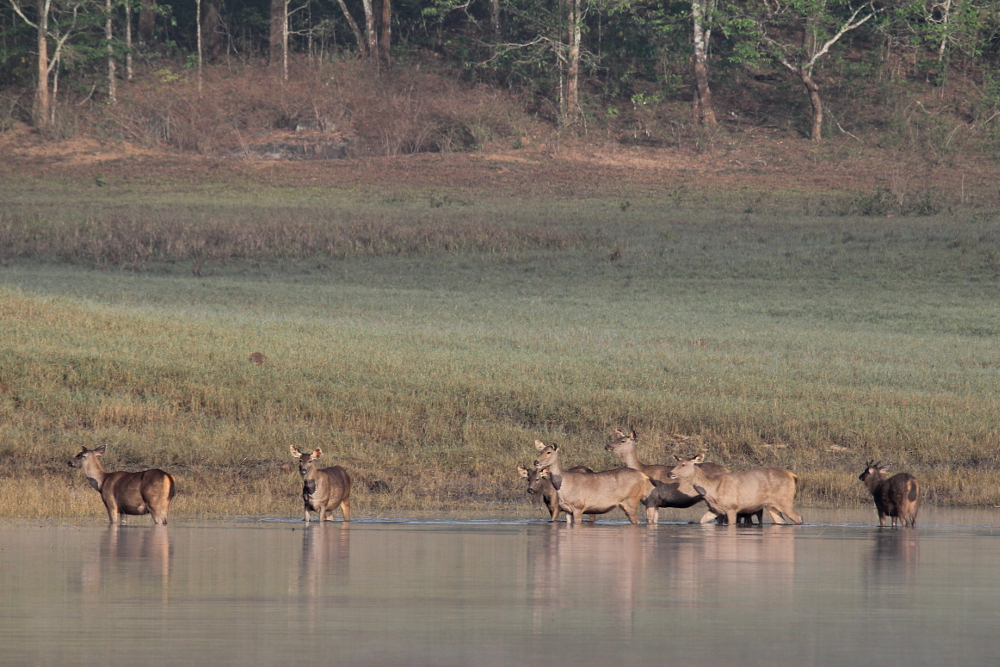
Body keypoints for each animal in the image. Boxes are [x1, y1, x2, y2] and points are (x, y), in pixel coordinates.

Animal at [668, 454, 803, 525]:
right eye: (677, 463)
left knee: (799, 518)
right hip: (771, 505)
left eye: (683, 465)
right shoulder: (714, 509)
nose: (670, 473)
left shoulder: (732, 507)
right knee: (781, 521)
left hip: (785, 499)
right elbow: (702, 520)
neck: (712, 488)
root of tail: (793, 475)